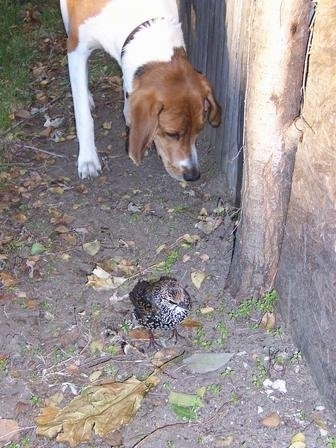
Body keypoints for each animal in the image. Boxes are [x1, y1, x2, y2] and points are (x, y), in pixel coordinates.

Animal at [59, 0, 220, 182]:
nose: (193, 175)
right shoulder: (76, 49)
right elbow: (83, 118)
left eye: (199, 130)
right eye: (171, 134)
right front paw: (88, 159)